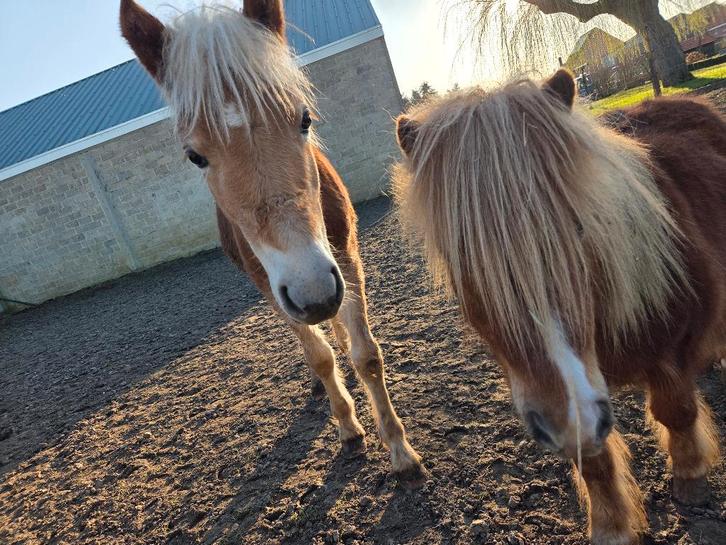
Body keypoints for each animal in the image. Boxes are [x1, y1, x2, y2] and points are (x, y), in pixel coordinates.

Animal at [119, 0, 425, 487]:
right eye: (195, 156)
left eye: (305, 119)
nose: (313, 291)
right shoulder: (273, 288)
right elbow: (318, 356)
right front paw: (346, 423)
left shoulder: (344, 259)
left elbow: (366, 356)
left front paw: (399, 449)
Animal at [393, 69, 725, 544]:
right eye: (463, 261)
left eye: (581, 226)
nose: (572, 417)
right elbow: (594, 460)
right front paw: (611, 526)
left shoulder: (672, 348)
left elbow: (675, 410)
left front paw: (690, 478)